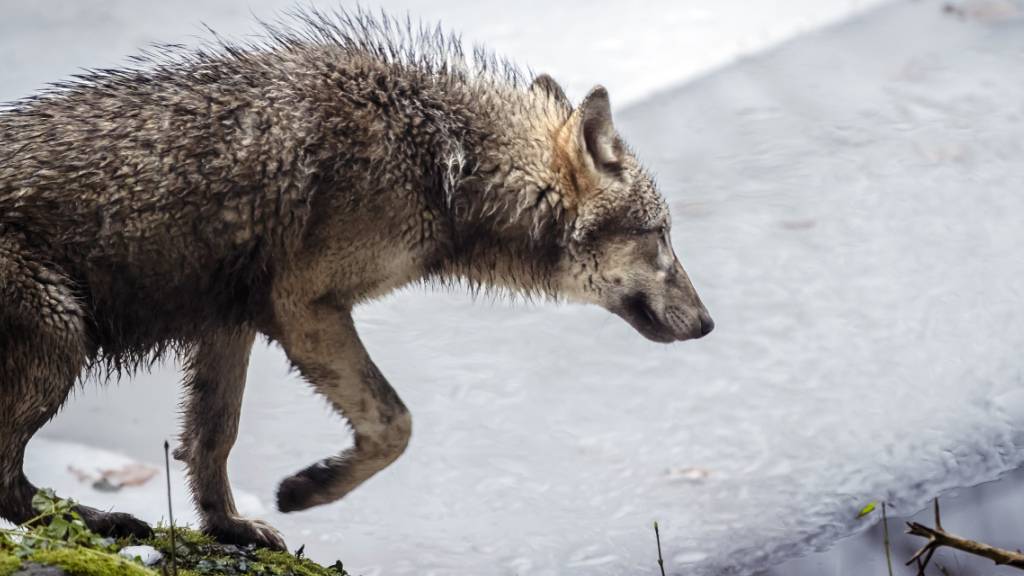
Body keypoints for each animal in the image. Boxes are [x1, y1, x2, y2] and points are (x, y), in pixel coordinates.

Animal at [0, 7, 712, 545]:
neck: (444, 164)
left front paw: (230, 527)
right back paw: (102, 522)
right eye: (661, 236)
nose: (708, 324)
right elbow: (397, 424)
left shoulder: (232, 321)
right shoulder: (303, 307)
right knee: (9, 482)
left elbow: (211, 440)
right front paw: (309, 488)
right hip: (62, 338)